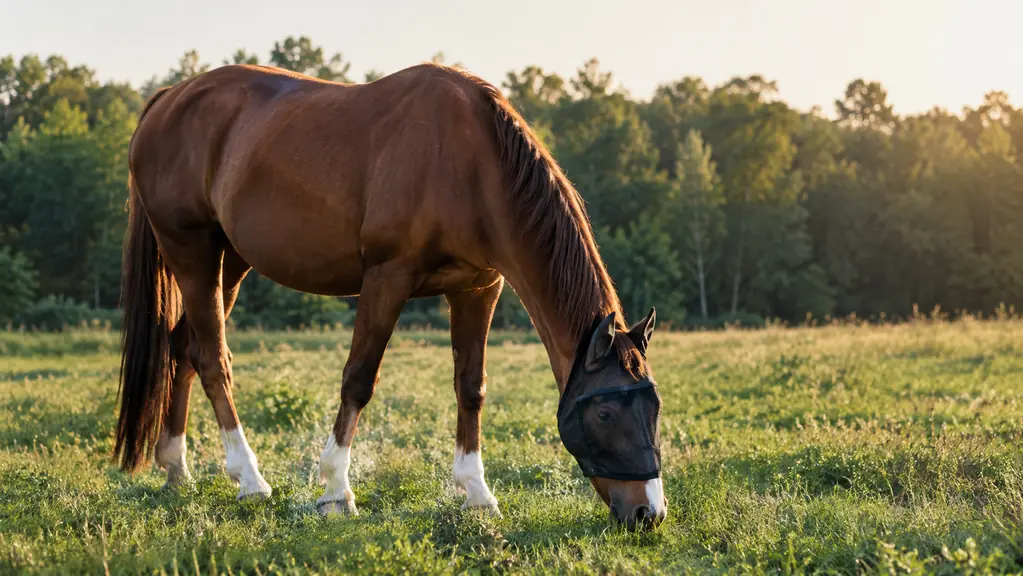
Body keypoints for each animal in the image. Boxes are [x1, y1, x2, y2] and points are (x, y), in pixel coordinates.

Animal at [114, 62, 667, 530]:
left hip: (230, 262)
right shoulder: (387, 278)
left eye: (654, 407)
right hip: (193, 253)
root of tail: (168, 99)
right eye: (604, 413)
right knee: (212, 359)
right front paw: (335, 491)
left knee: (185, 349)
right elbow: (358, 381)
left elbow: (471, 388)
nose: (648, 513)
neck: (470, 162)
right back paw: (249, 479)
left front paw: (477, 493)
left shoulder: (478, 287)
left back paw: (177, 469)